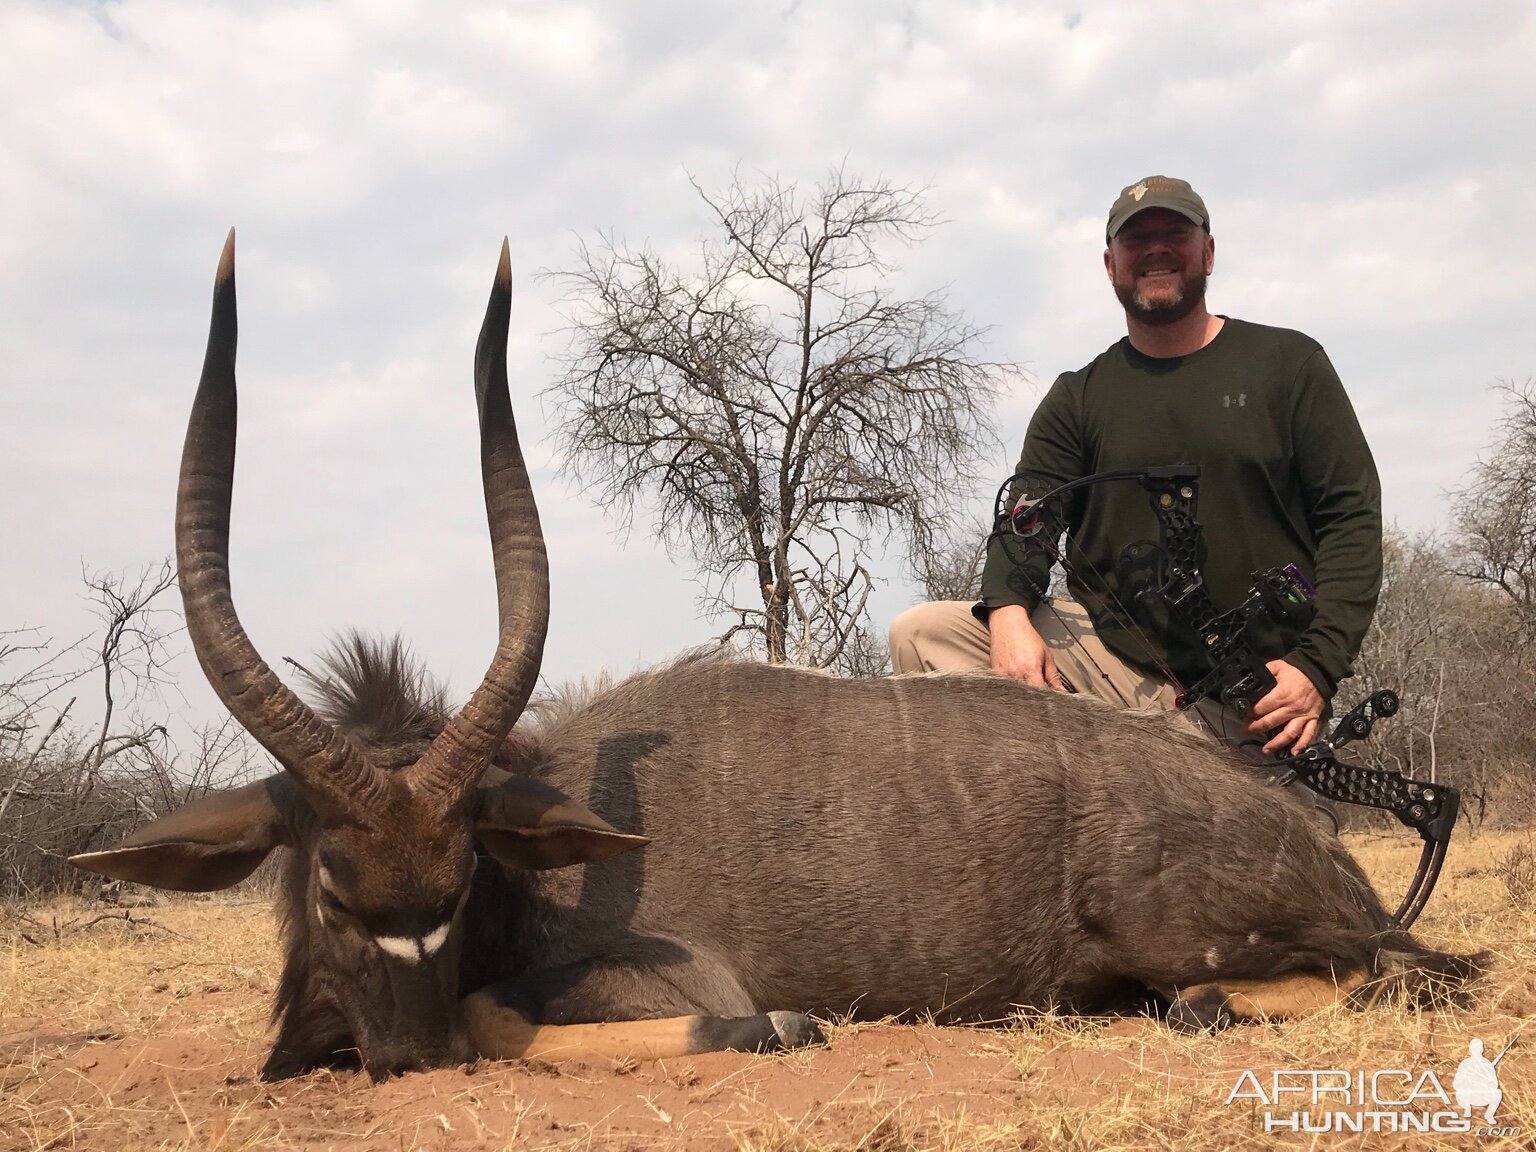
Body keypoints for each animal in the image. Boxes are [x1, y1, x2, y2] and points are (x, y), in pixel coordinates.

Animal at [69, 235, 1474, 1081]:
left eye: (460, 880)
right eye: (327, 888)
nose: (407, 1062)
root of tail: (1311, 837)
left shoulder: (667, 970)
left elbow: (511, 1011)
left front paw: (781, 1023)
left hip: (1223, 945)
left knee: (1374, 977)